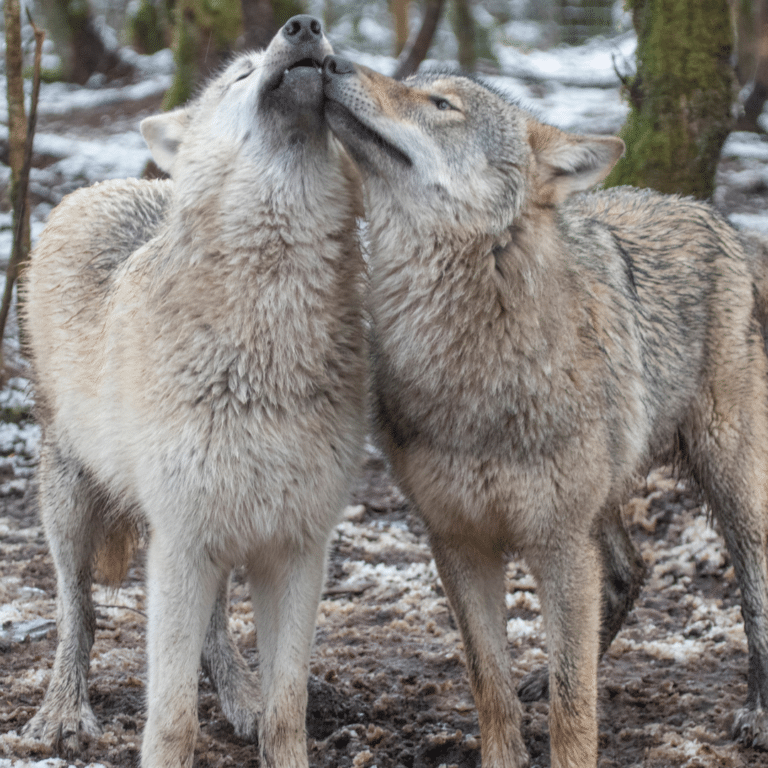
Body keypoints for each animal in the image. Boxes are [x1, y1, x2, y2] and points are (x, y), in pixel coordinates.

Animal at [22, 17, 366, 768]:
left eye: (327, 55)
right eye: (240, 75)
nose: (304, 24)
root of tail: (105, 184)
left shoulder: (298, 549)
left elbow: (288, 707)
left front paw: (266, 720)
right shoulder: (183, 542)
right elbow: (172, 715)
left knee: (214, 632)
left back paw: (239, 697)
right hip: (73, 504)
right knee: (76, 613)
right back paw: (62, 712)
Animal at [322, 56, 768, 768]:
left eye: (440, 104)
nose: (331, 58)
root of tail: (714, 215)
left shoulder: (558, 543)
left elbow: (573, 707)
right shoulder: (457, 541)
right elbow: (490, 683)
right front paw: (506, 745)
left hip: (727, 479)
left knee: (750, 589)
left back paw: (757, 709)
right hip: (602, 499)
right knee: (629, 572)